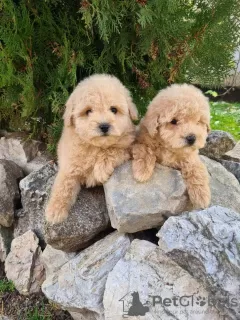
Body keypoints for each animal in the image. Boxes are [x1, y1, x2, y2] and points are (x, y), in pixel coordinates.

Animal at [45, 74, 138, 224]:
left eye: (114, 109)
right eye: (88, 111)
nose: (104, 126)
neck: (96, 146)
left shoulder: (129, 147)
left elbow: (112, 151)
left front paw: (100, 170)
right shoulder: (69, 164)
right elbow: (63, 184)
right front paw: (55, 210)